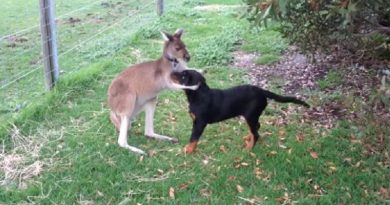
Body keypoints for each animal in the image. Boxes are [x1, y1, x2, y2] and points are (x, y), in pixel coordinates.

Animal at [172, 69, 310, 153]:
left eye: (183, 76)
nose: (171, 72)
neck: (199, 95)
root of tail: (262, 91)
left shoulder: (199, 123)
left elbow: (193, 138)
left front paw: (188, 150)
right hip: (252, 116)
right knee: (256, 128)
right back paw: (248, 138)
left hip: (250, 115)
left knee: (256, 133)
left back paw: (249, 148)